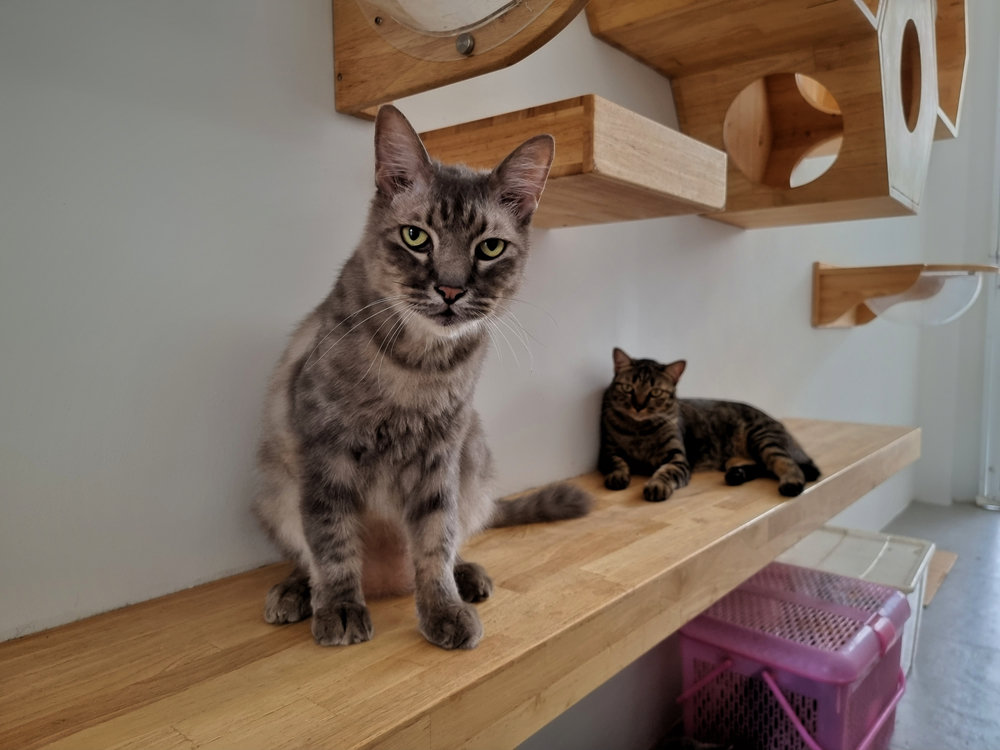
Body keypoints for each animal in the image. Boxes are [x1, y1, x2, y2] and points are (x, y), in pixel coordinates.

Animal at [254, 107, 588, 652]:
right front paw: (340, 608)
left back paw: (466, 576)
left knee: (454, 541)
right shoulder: (325, 453)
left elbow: (435, 544)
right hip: (275, 485)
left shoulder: (440, 458)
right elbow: (331, 542)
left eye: (489, 247)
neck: (417, 368)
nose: (451, 289)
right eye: (416, 237)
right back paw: (297, 592)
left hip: (474, 458)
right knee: (305, 554)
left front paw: (442, 608)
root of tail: (386, 581)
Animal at [600, 350, 820, 502]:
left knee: (787, 464)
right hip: (737, 456)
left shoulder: (678, 459)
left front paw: (657, 486)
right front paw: (618, 476)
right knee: (764, 467)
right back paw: (737, 474)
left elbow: (666, 472)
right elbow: (617, 463)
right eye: (628, 388)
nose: (638, 406)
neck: (639, 431)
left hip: (764, 439)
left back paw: (791, 482)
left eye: (655, 392)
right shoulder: (608, 452)